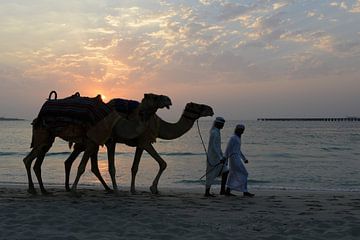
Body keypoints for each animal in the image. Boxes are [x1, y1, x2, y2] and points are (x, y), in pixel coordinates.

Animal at [22, 93, 172, 194]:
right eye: (155, 97)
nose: (168, 99)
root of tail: (38, 116)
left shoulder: (99, 142)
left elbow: (97, 167)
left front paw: (113, 189)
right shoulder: (93, 142)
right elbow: (83, 167)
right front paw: (75, 189)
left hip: (48, 138)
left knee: (37, 161)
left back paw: (42, 190)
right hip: (43, 135)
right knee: (29, 159)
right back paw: (35, 189)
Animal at [64, 101, 214, 193]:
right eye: (199, 106)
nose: (211, 110)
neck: (160, 126)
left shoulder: (140, 144)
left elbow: (135, 167)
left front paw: (134, 189)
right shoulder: (145, 141)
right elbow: (162, 163)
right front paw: (152, 188)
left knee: (78, 160)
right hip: (99, 138)